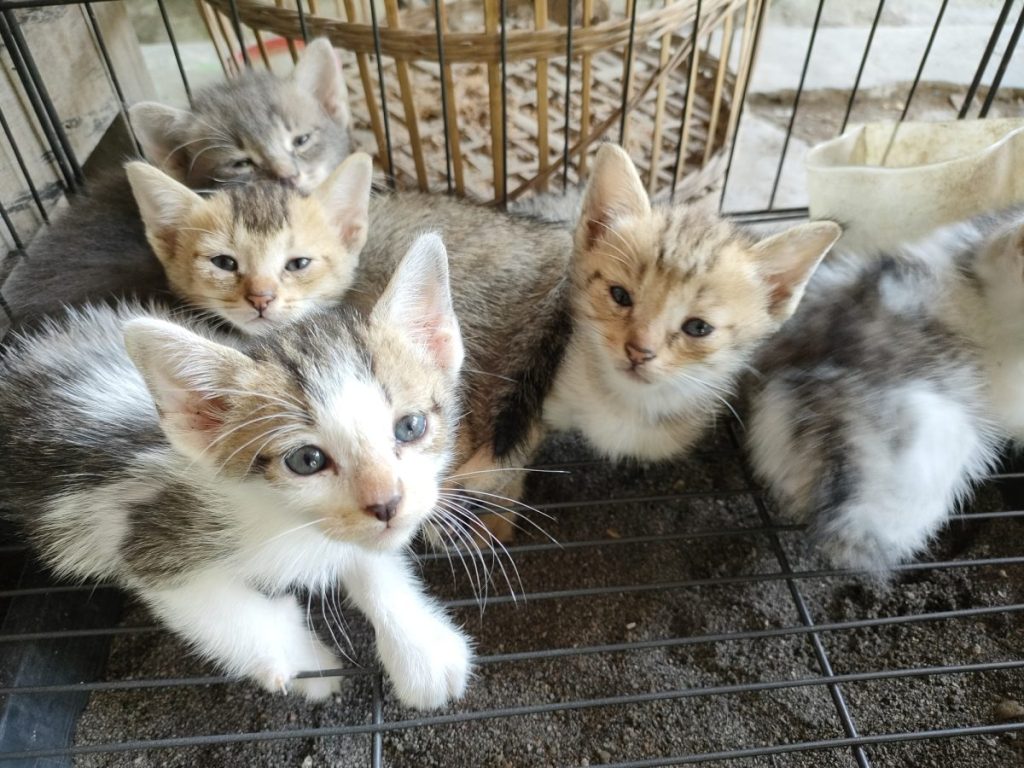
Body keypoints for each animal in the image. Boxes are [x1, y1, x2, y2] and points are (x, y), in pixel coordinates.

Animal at [0, 234, 468, 708]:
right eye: (307, 460)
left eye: (410, 426)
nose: (388, 503)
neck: (285, 522)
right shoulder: (143, 534)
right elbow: (223, 612)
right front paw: (305, 664)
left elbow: (372, 563)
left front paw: (421, 650)